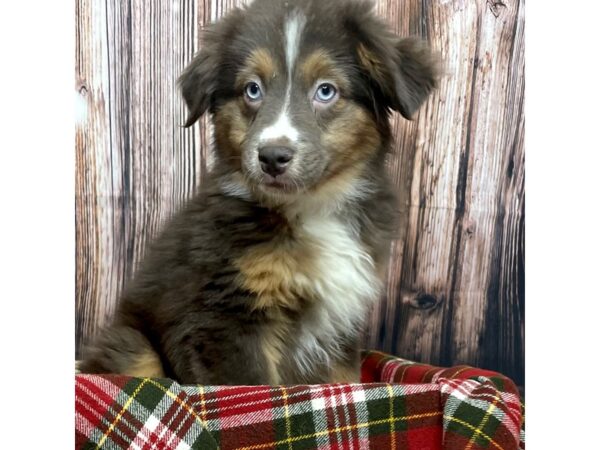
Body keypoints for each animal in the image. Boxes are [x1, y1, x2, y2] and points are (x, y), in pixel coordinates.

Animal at [78, 0, 436, 384]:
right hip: (133, 344)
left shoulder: (341, 323)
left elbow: (344, 382)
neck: (310, 207)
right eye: (252, 89)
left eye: (326, 90)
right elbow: (253, 390)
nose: (272, 157)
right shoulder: (225, 319)